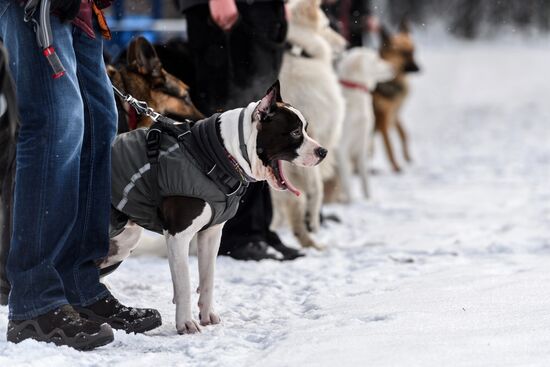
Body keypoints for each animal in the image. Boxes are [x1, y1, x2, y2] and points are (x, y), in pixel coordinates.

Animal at [376, 20, 422, 173]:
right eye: (404, 53)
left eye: (414, 51)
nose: (419, 69)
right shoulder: (383, 118)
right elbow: (389, 146)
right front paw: (396, 166)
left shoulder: (395, 114)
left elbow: (404, 135)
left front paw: (407, 156)